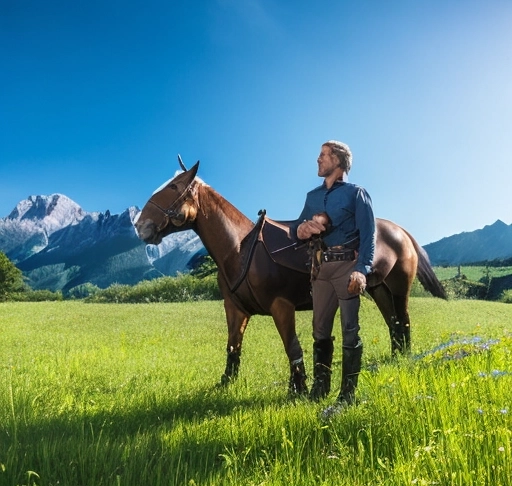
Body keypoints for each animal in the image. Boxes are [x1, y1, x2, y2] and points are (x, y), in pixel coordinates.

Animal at [134, 159, 446, 394]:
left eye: (174, 187)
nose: (140, 225)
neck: (240, 250)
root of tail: (400, 231)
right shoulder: (235, 309)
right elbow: (233, 347)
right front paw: (225, 383)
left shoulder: (281, 306)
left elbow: (292, 348)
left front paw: (298, 391)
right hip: (377, 288)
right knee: (393, 322)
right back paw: (395, 358)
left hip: (398, 288)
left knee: (402, 320)